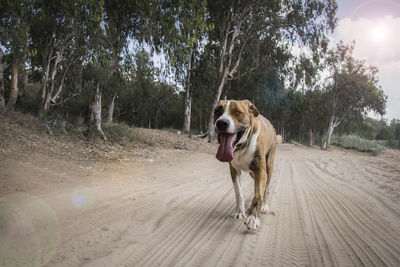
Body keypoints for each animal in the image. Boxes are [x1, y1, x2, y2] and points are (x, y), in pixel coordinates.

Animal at [214, 99, 276, 231]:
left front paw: (253, 218)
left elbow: (258, 195)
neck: (242, 147)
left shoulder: (261, 171)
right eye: (217, 111)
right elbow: (239, 192)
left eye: (238, 112)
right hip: (253, 173)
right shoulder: (234, 170)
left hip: (269, 166)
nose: (221, 123)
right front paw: (239, 211)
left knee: (266, 187)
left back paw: (264, 206)